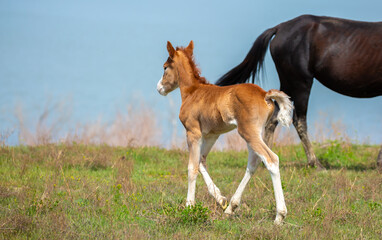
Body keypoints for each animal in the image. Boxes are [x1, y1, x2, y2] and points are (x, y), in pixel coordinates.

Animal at [156, 40, 292, 223]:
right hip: (256, 134)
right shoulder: (212, 135)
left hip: (248, 133)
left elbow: (192, 167)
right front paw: (220, 199)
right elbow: (201, 161)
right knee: (253, 163)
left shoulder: (193, 133)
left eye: (165, 67)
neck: (193, 92)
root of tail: (265, 94)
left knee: (271, 159)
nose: (159, 88)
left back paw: (279, 216)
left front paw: (189, 206)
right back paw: (231, 208)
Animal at [216, 15, 382, 169]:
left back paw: (266, 160)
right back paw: (315, 164)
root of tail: (280, 28)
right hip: (301, 83)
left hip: (288, 85)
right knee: (299, 120)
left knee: (274, 118)